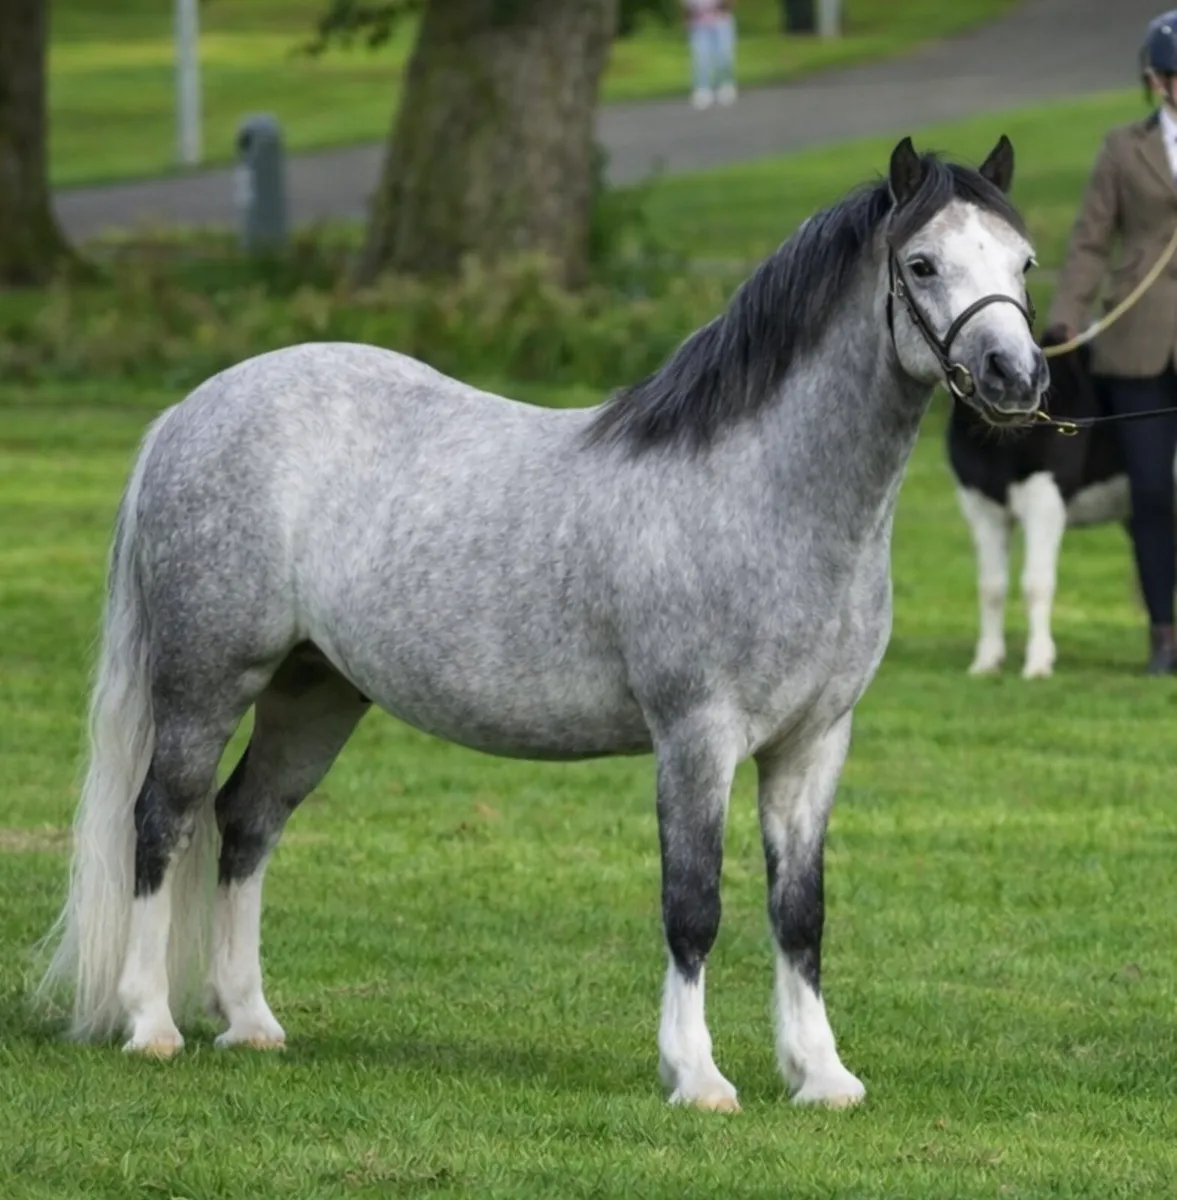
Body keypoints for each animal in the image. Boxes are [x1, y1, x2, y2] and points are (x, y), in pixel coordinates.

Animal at [35, 135, 1046, 1112]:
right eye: (920, 263)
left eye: (1022, 261)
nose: (1016, 375)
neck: (766, 493)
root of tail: (192, 409)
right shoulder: (696, 737)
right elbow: (693, 905)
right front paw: (697, 1078)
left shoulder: (813, 744)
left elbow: (800, 913)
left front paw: (821, 1077)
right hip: (207, 679)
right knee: (162, 819)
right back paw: (149, 1024)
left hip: (314, 691)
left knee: (245, 824)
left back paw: (249, 1022)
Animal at [947, 335, 1131, 678]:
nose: (1011, 381)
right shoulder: (982, 507)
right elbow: (991, 586)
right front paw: (986, 662)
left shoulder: (1044, 501)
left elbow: (1036, 584)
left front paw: (1038, 662)